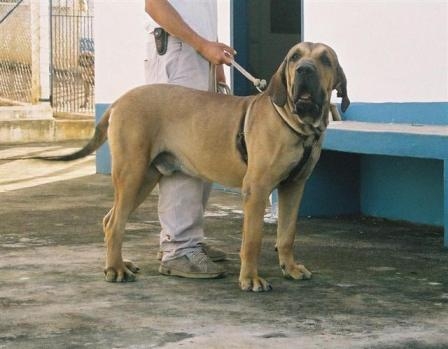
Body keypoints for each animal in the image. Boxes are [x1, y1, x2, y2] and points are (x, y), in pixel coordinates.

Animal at [50, 40, 350, 290]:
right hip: (132, 173)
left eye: (325, 60)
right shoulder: (256, 190)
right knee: (115, 223)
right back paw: (115, 269)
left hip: (144, 179)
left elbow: (287, 233)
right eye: (294, 57)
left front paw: (290, 268)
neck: (298, 124)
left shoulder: (294, 187)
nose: (304, 70)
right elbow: (252, 240)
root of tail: (119, 101)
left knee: (110, 218)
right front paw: (250, 278)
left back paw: (120, 263)